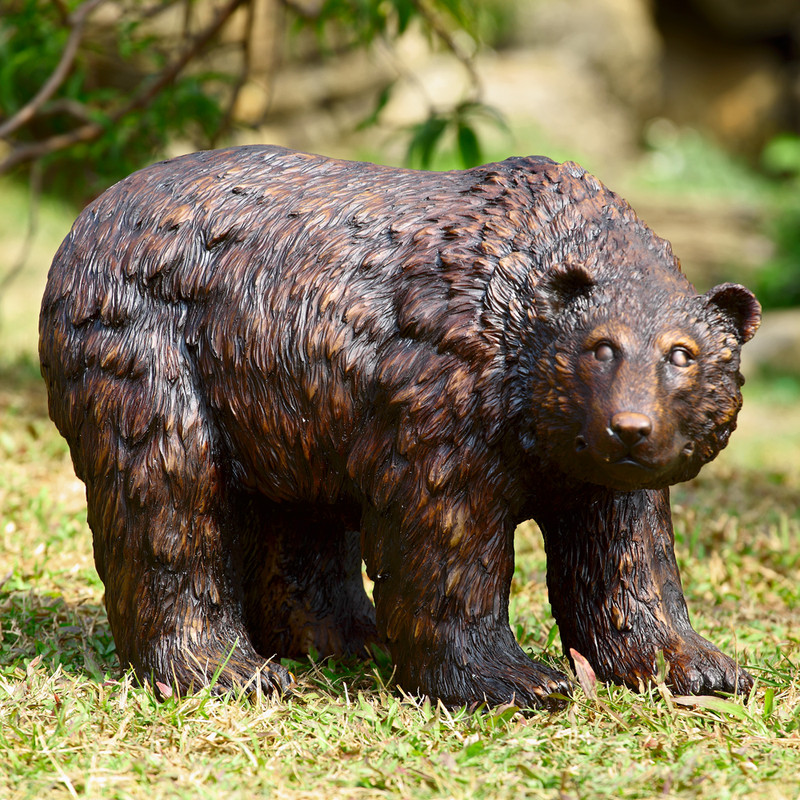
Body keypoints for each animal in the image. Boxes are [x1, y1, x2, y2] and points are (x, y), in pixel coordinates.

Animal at [39, 145, 760, 708]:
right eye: (601, 347)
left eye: (682, 354)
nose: (631, 427)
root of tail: (88, 214)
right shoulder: (445, 398)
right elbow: (447, 542)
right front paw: (515, 679)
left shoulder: (596, 467)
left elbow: (625, 554)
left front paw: (701, 665)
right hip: (150, 345)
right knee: (167, 493)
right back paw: (229, 669)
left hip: (286, 385)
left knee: (298, 512)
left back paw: (341, 638)